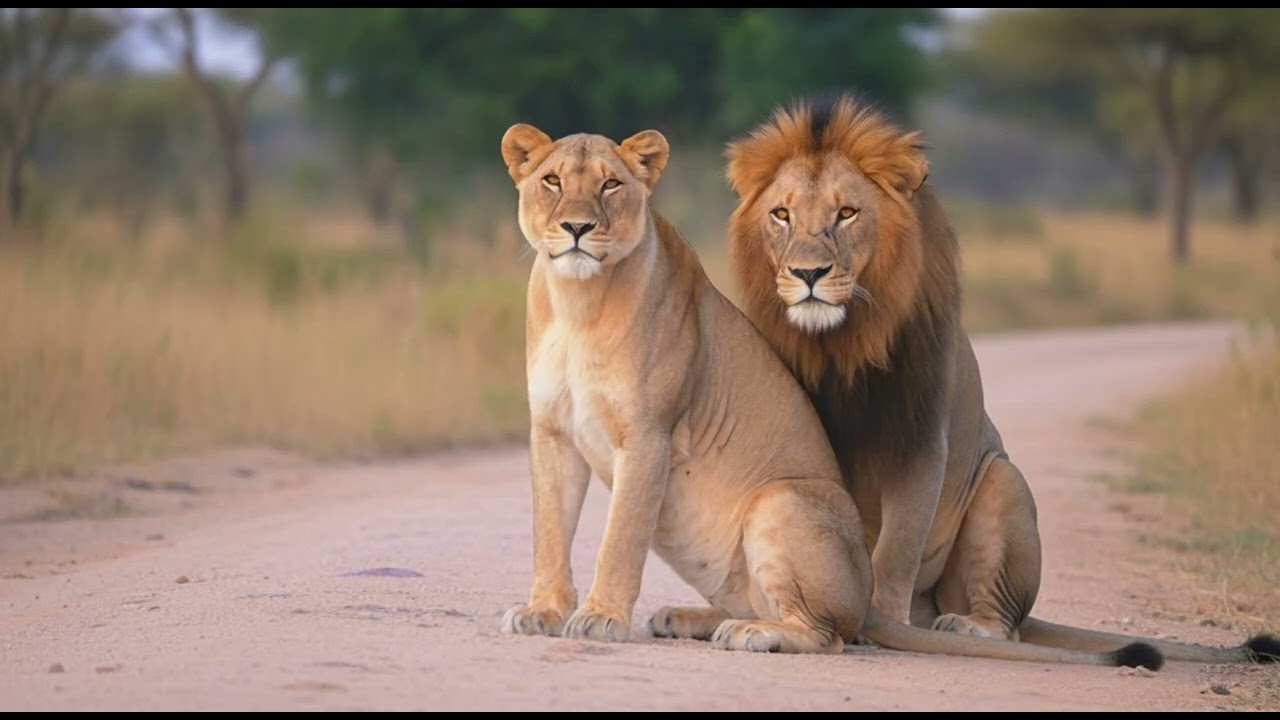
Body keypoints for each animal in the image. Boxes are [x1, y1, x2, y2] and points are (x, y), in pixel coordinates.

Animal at [495, 121, 1162, 669]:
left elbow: (620, 538)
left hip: (783, 500)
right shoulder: (550, 433)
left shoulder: (649, 437)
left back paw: (752, 633)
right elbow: (549, 531)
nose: (577, 228)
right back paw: (691, 618)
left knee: (829, 634)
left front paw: (600, 617)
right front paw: (543, 611)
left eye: (611, 186)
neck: (577, 301)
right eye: (552, 180)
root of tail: (869, 600)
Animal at [722, 92, 1278, 664]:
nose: (808, 274)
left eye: (847, 213)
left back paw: (963, 626)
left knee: (1006, 621)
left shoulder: (921, 442)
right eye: (782, 215)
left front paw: (881, 624)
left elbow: (895, 551)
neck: (840, 346)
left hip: (1001, 481)